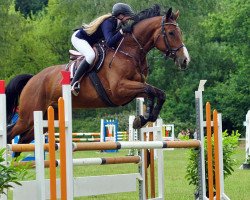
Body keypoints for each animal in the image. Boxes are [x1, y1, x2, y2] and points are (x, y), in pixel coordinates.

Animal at [5, 5, 189, 147]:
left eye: (180, 32)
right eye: (171, 33)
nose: (185, 60)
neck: (128, 52)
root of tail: (32, 78)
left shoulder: (135, 88)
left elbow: (157, 93)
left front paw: (144, 118)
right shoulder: (120, 90)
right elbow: (152, 91)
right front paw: (143, 118)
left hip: (46, 117)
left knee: (23, 140)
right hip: (29, 115)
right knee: (10, 132)